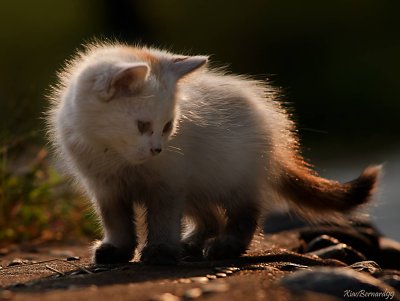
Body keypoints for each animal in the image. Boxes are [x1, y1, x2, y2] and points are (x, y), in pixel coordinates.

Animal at [46, 41, 378, 262]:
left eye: (167, 126)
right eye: (142, 125)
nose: (157, 149)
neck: (116, 156)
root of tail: (274, 126)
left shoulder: (168, 183)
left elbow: (163, 219)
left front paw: (161, 249)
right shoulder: (105, 187)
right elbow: (115, 219)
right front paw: (118, 248)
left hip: (232, 177)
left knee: (245, 214)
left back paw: (227, 246)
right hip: (198, 185)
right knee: (210, 218)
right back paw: (192, 243)